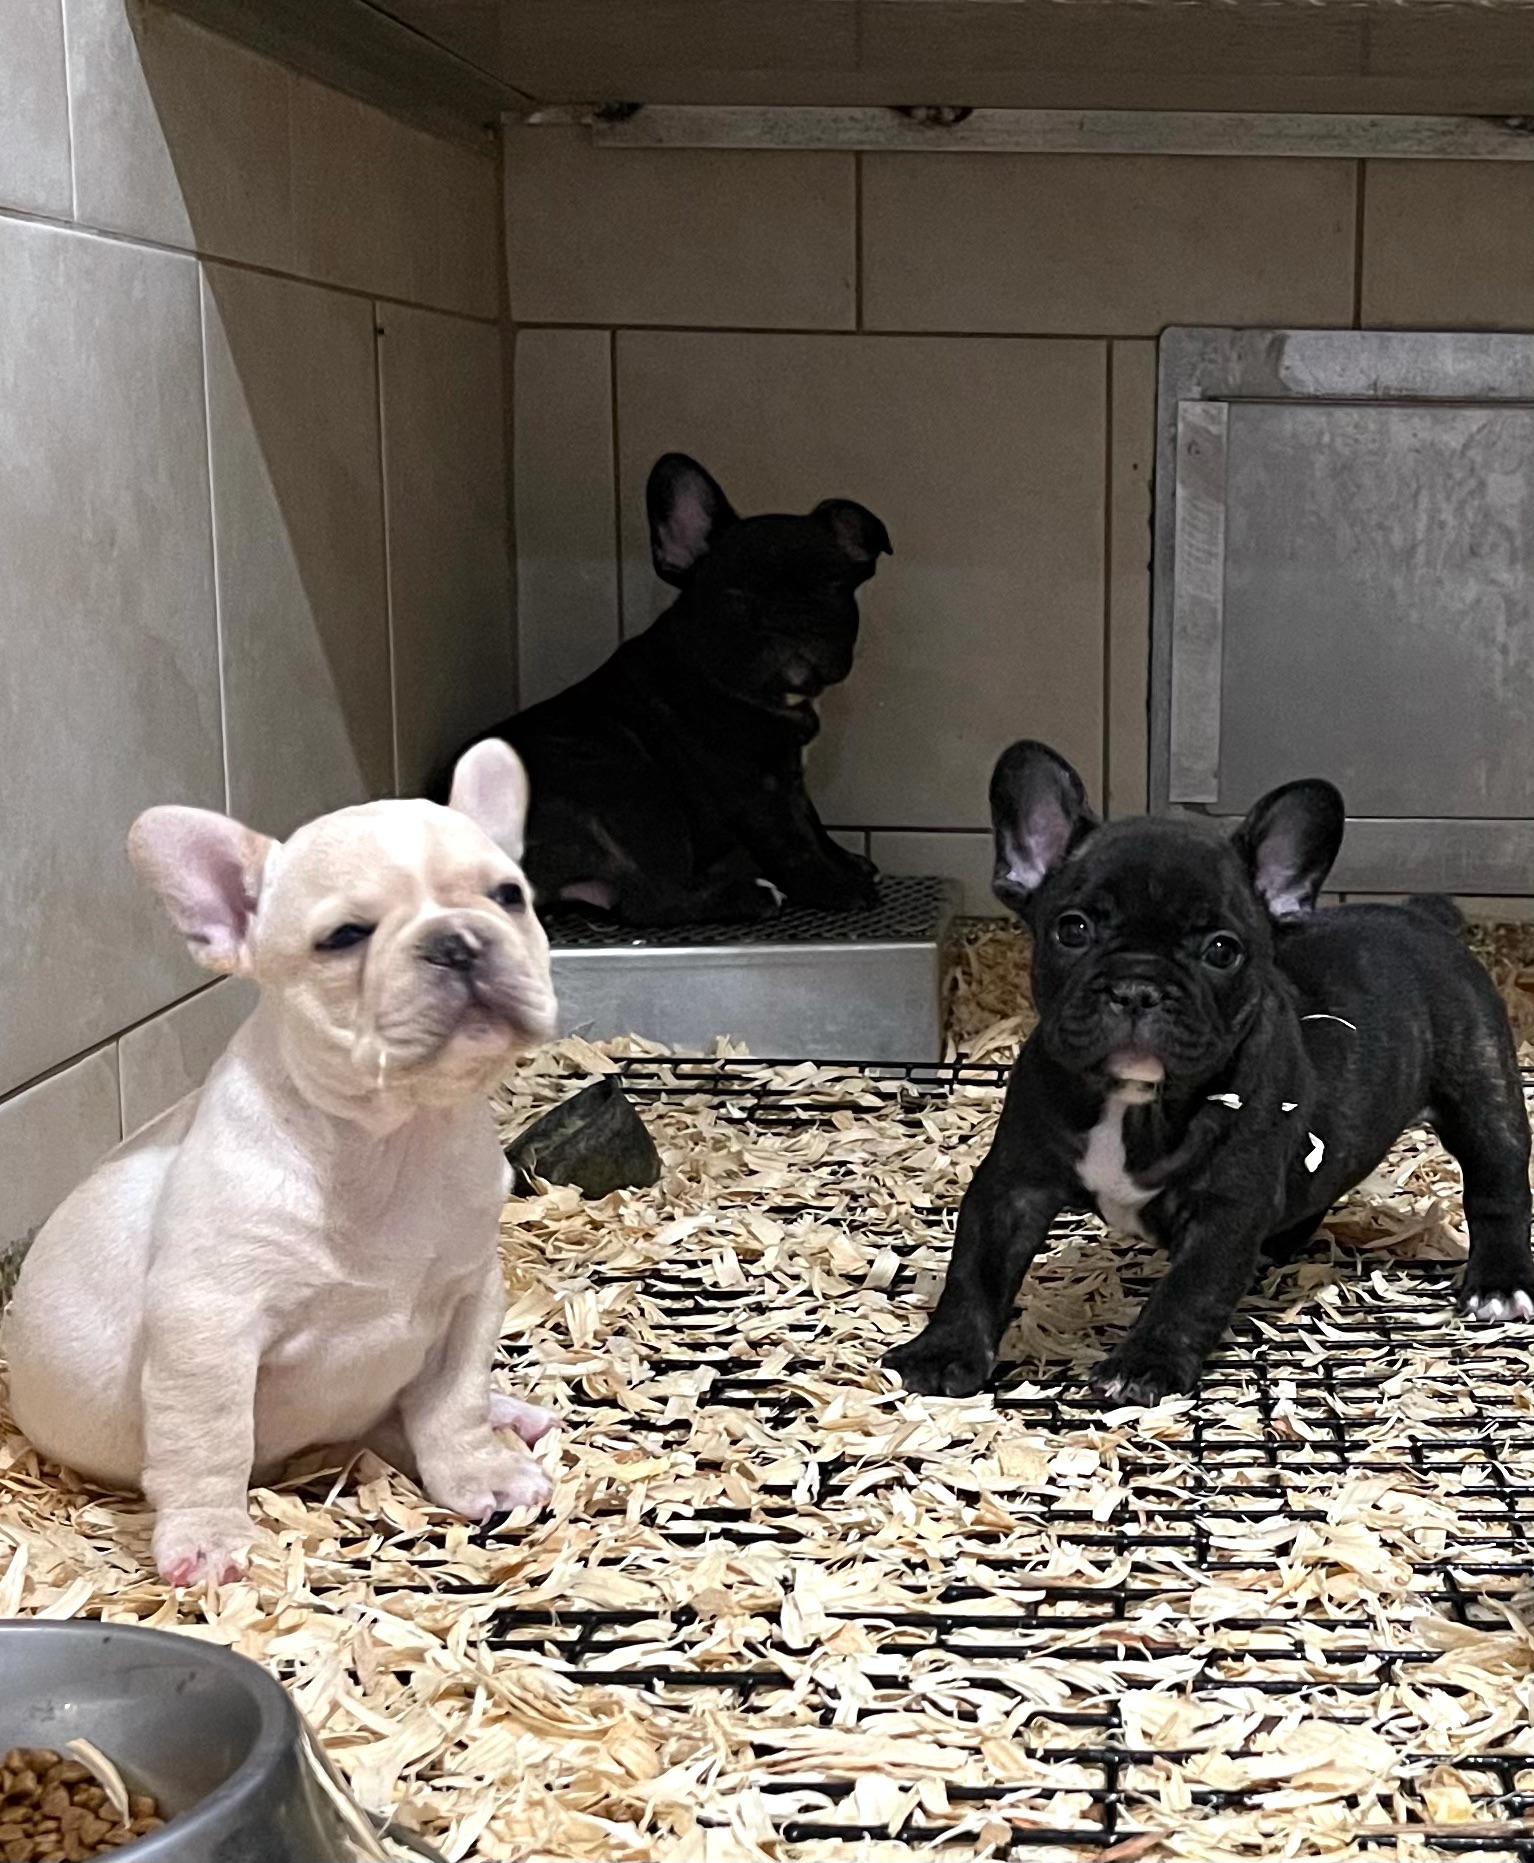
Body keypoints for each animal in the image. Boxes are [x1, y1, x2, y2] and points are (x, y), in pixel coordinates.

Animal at [1, 741, 562, 1587]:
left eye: (510, 895)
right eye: (345, 936)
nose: (458, 940)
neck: (393, 1139)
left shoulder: (471, 1295)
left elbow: (452, 1399)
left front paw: (478, 1470)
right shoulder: (207, 1324)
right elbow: (211, 1437)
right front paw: (208, 1536)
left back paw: (509, 1416)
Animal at [438, 454, 887, 927]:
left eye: (832, 589)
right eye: (735, 596)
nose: (788, 616)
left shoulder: (789, 776)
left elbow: (810, 819)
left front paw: (848, 861)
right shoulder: (756, 789)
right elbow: (793, 840)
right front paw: (836, 884)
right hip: (635, 788)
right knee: (649, 900)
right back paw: (749, 894)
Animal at [887, 734, 1534, 1400]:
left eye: (1222, 950)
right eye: (1073, 929)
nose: (1138, 987)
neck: (1136, 1102)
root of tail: (1424, 916)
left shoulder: (1226, 1209)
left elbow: (1188, 1293)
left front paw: (1142, 1366)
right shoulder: (1012, 1183)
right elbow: (976, 1270)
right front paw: (943, 1351)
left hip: (1483, 1094)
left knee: (1499, 1183)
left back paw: (1498, 1284)